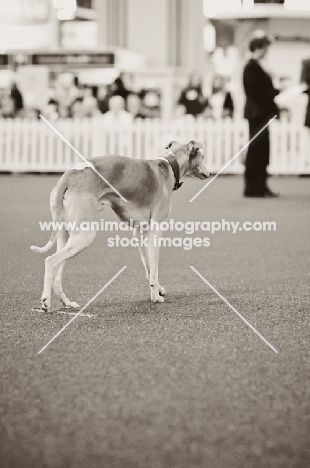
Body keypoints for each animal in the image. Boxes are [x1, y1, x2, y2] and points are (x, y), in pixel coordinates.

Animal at [30, 141, 211, 312]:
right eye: (203, 156)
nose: (210, 173)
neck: (168, 165)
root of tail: (68, 177)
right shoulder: (156, 230)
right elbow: (154, 268)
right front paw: (156, 297)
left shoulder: (140, 232)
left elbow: (148, 267)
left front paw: (157, 289)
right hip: (84, 235)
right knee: (50, 261)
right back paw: (46, 302)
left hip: (65, 235)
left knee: (57, 276)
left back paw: (67, 303)